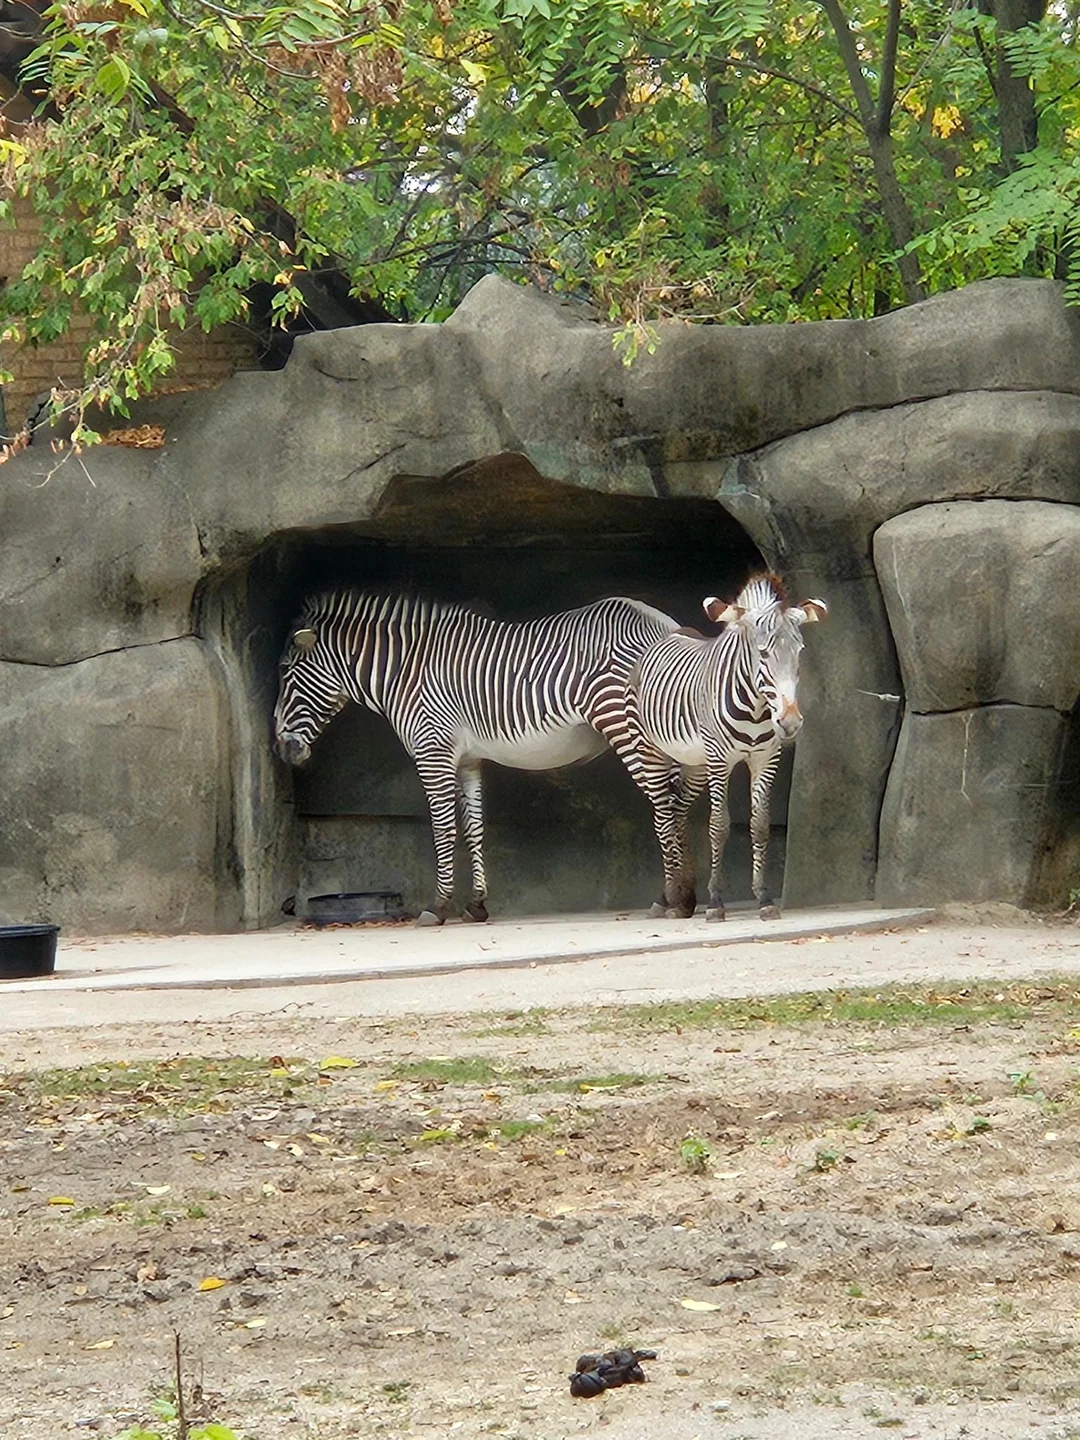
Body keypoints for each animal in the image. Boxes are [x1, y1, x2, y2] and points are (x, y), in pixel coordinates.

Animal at [273, 588, 681, 925]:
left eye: (285, 672)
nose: (281, 748)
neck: (405, 672)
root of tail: (666, 625)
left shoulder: (432, 750)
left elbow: (443, 829)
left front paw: (438, 907)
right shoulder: (465, 759)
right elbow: (474, 828)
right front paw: (477, 905)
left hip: (623, 725)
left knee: (664, 803)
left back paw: (671, 899)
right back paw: (681, 895)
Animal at [627, 573, 827, 921]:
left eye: (799, 653)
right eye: (763, 654)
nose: (789, 723)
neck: (757, 708)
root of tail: (674, 633)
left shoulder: (765, 758)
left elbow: (759, 825)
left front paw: (764, 898)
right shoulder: (720, 760)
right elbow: (718, 826)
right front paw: (716, 902)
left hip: (695, 762)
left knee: (677, 809)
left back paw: (681, 899)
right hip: (651, 750)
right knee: (662, 817)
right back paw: (667, 898)